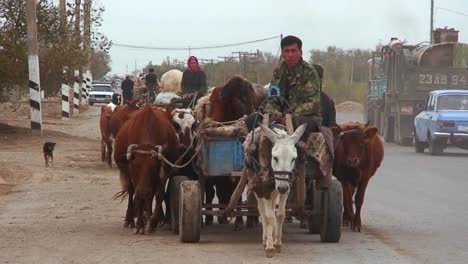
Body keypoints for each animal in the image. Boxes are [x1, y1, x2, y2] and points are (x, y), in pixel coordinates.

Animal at [114, 106, 179, 234]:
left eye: (154, 167)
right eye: (135, 166)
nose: (144, 191)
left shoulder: (163, 173)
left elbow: (159, 195)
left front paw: (152, 222)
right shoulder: (134, 177)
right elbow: (138, 197)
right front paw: (139, 225)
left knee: (150, 196)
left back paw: (148, 217)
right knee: (131, 193)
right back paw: (130, 220)